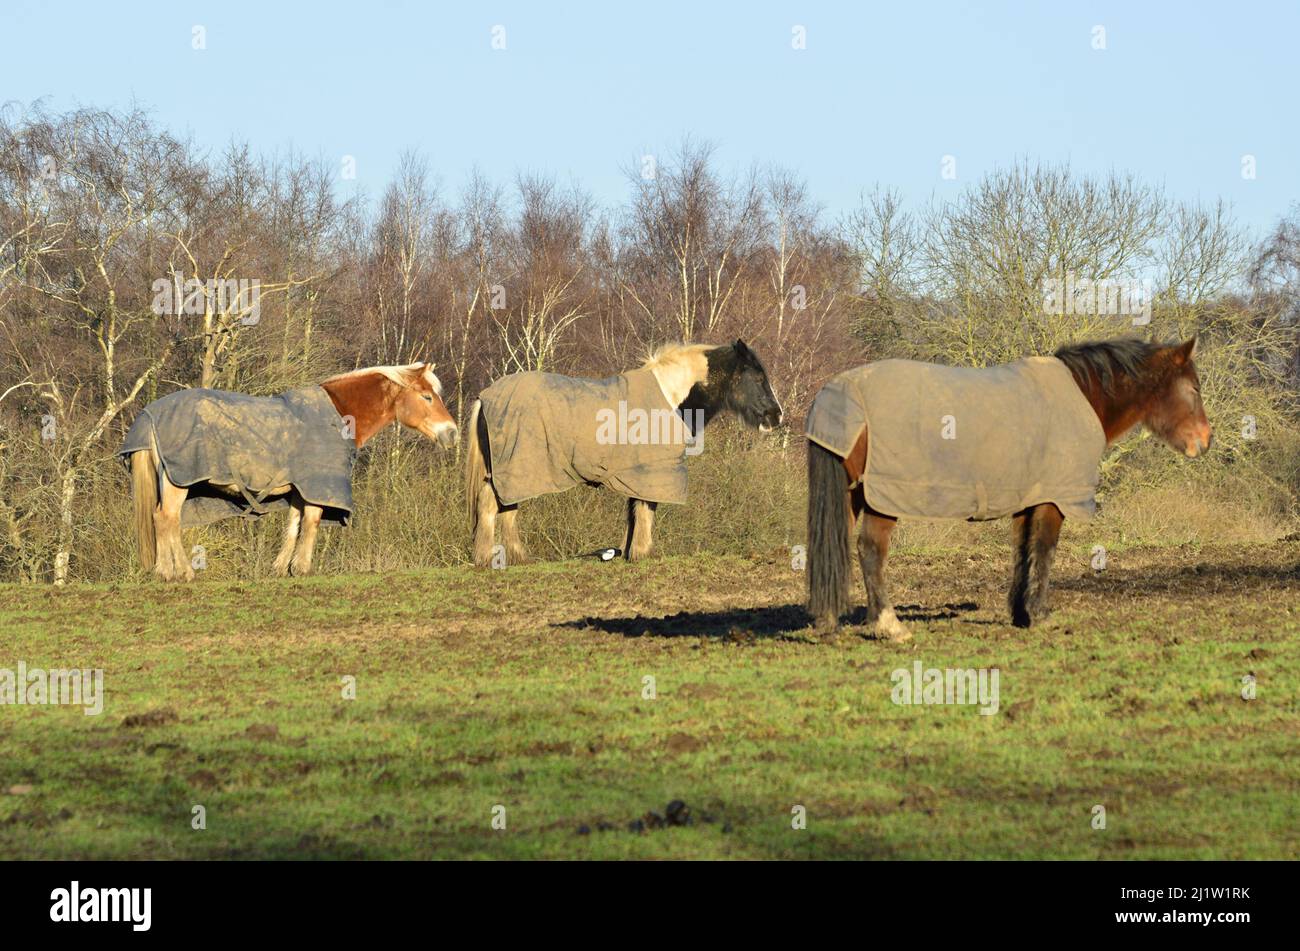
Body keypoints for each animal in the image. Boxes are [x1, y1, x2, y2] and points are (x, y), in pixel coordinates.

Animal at [122, 361, 457, 579]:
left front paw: (282, 567)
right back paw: (181, 572)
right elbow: (312, 522)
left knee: (161, 518)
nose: (452, 433)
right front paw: (303, 568)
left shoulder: (301, 488)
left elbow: (293, 524)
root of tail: (150, 414)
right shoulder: (318, 485)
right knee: (167, 519)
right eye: (427, 396)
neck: (338, 414)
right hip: (177, 482)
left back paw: (165, 571)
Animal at [467, 340, 780, 563]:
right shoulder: (653, 471)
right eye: (759, 378)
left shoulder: (637, 474)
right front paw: (643, 552)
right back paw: (490, 557)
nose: (776, 416)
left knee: (506, 506)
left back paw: (515, 557)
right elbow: (646, 509)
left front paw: (629, 551)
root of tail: (485, 397)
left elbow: (633, 511)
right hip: (514, 469)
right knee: (492, 504)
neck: (669, 398)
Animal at [806, 337, 1211, 641]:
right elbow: (1045, 550)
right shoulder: (1053, 500)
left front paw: (1019, 612)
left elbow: (1022, 551)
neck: (1083, 397)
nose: (1205, 441)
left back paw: (827, 621)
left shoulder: (1026, 501)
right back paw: (889, 625)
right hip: (882, 498)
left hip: (851, 495)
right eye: (1193, 388)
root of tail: (839, 393)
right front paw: (1039, 613)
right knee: (870, 550)